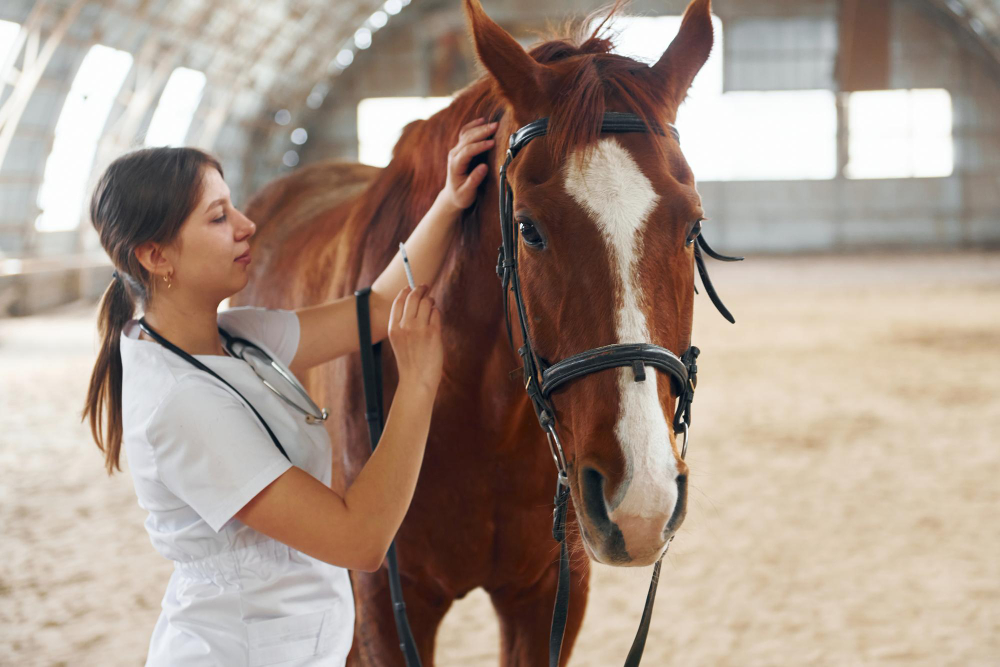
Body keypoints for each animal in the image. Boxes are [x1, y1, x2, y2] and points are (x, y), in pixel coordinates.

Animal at [232, 0, 720, 664]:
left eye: (693, 226)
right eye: (529, 228)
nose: (641, 498)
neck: (482, 420)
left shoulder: (549, 595)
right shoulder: (386, 603)